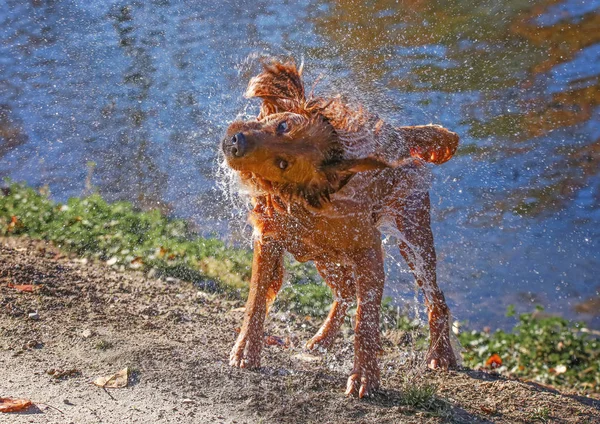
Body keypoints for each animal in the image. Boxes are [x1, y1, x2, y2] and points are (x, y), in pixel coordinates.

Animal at [221, 60, 460, 398]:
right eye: (282, 126)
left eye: (283, 163)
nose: (236, 142)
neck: (301, 200)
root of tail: (401, 135)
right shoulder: (268, 240)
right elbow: (256, 299)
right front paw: (246, 350)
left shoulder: (369, 254)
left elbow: (366, 323)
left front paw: (365, 376)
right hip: (324, 256)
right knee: (345, 291)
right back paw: (324, 338)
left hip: (413, 240)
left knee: (435, 297)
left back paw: (440, 353)